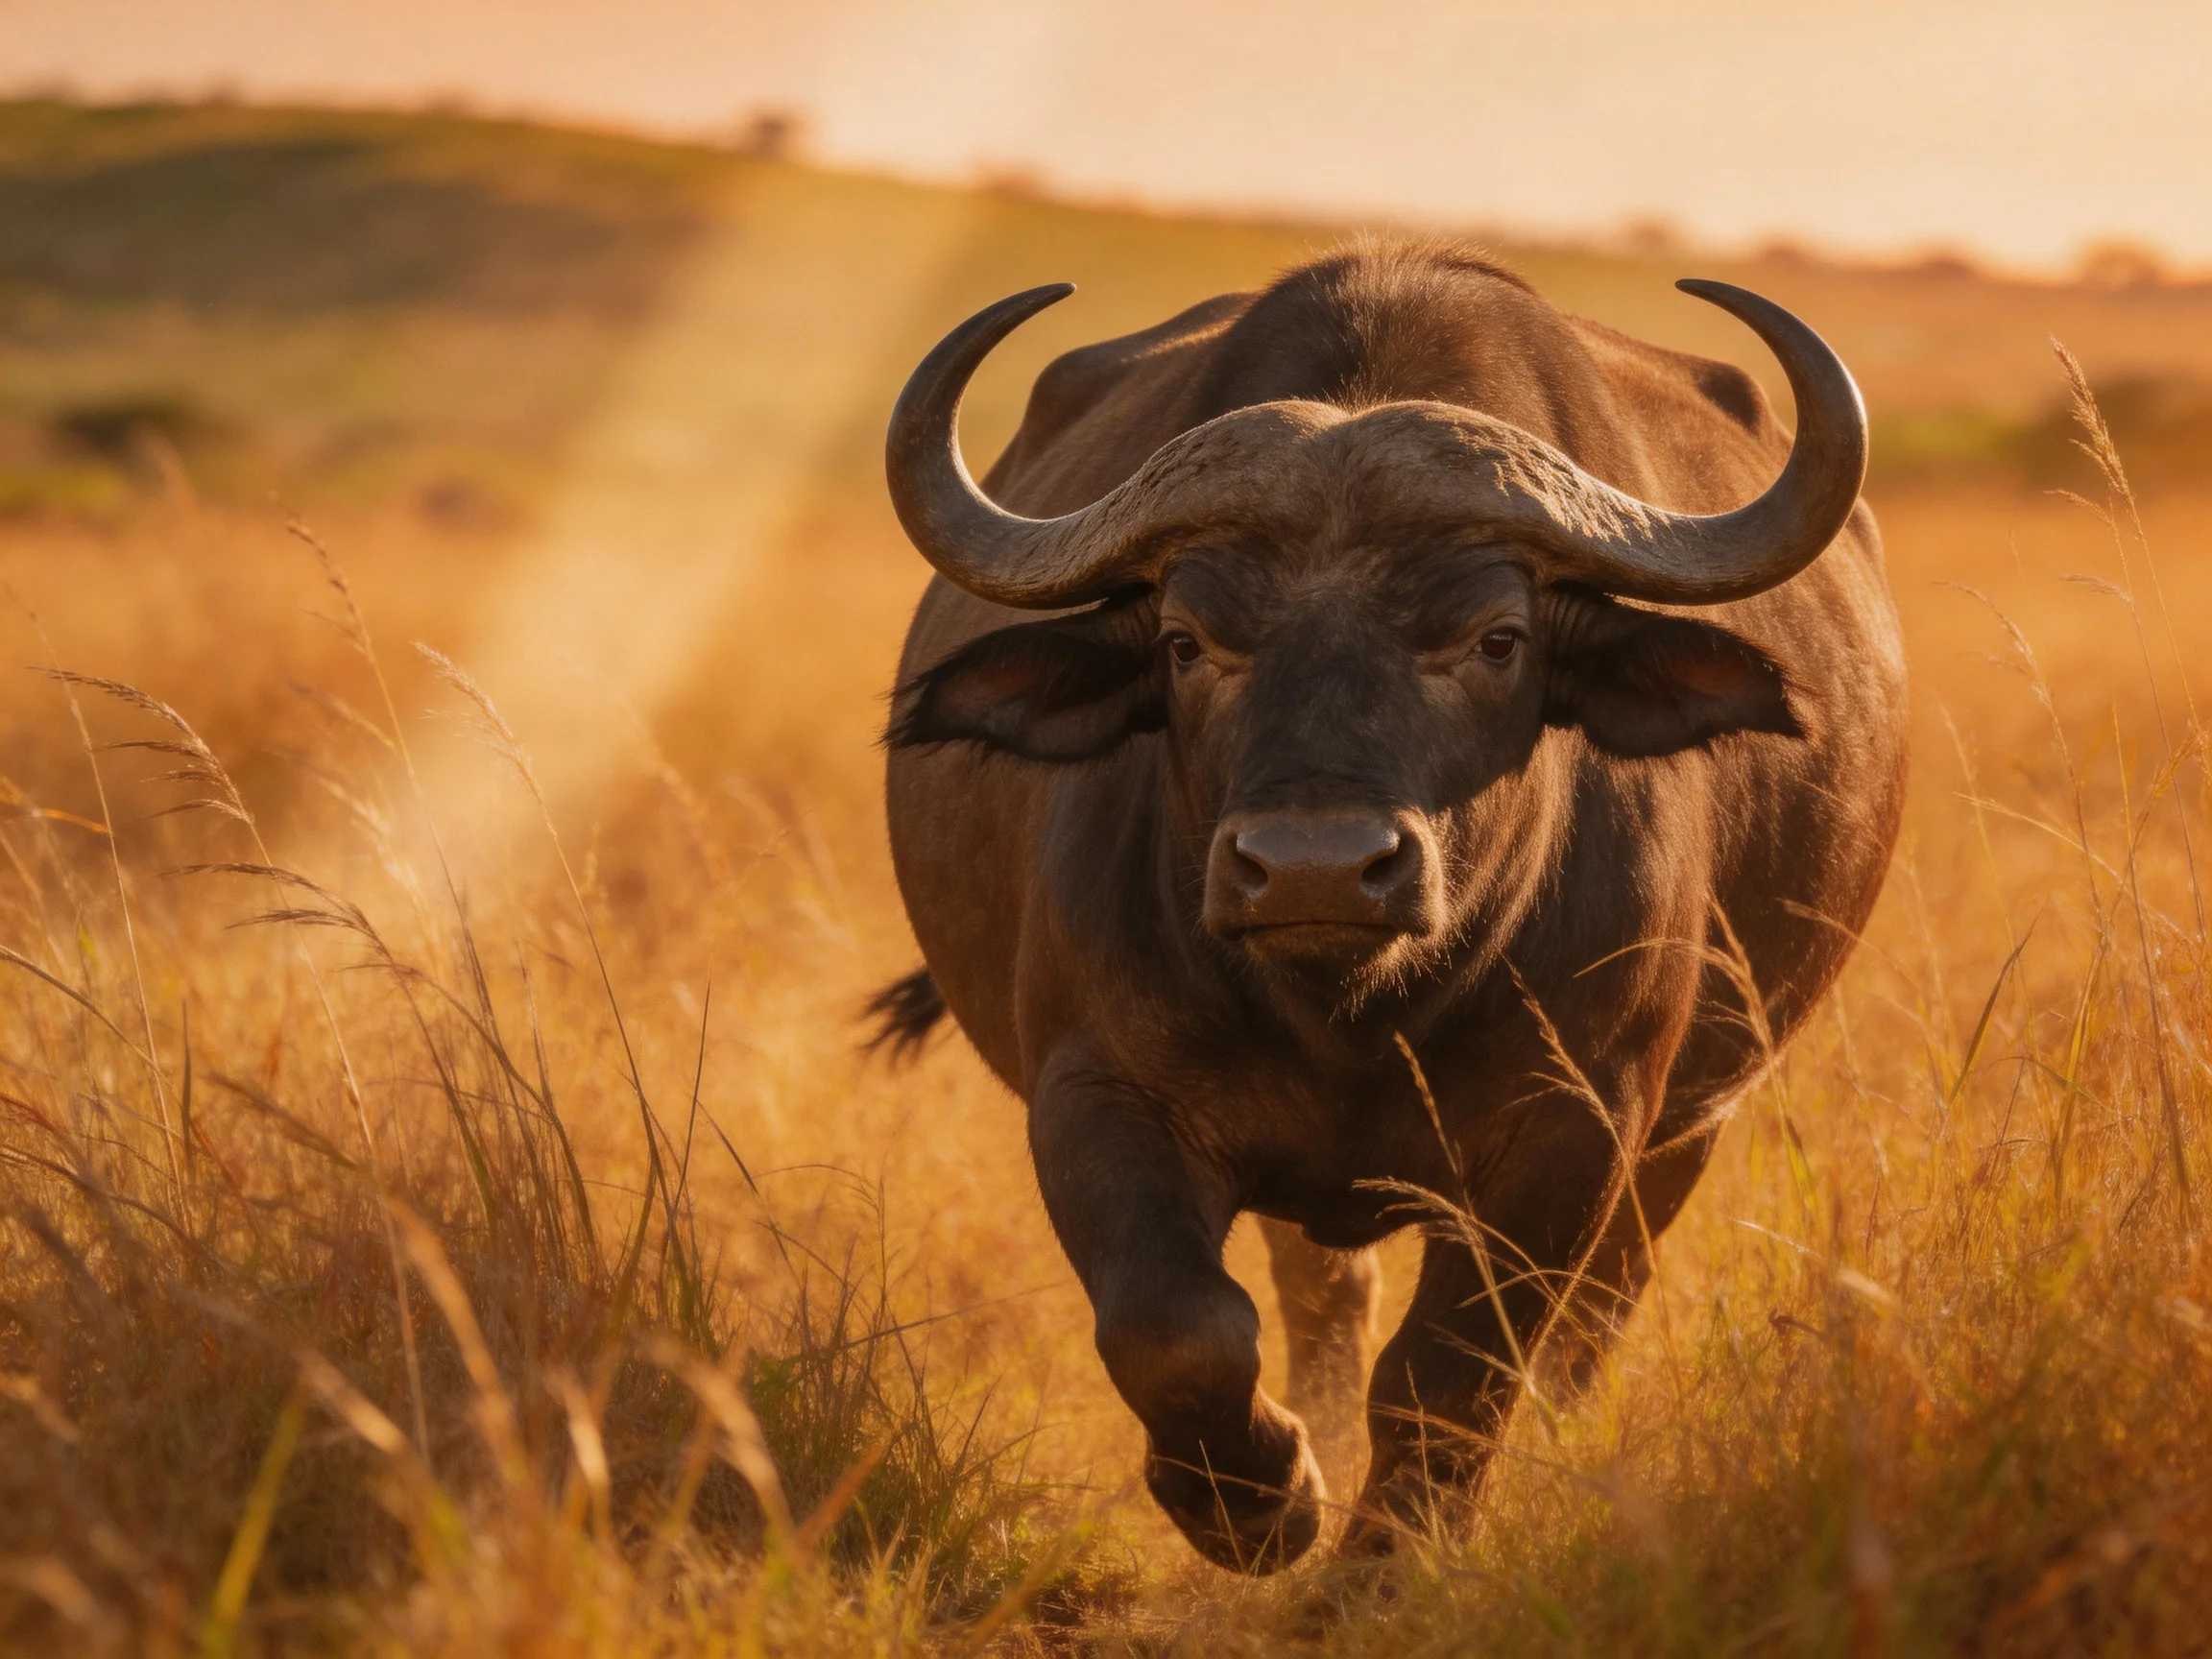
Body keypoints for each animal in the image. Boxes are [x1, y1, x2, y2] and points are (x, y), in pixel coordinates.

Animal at [872, 242, 1906, 1569]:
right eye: (1186, 640)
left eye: (1497, 640)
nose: (1314, 868)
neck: (1354, 1012)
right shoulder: (1096, 1090)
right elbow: (1177, 1329)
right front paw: (1262, 1502)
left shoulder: (1578, 1122)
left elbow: (1452, 1373)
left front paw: (1380, 1564)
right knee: (1322, 1300)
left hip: (1694, 1122)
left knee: (1590, 1322)